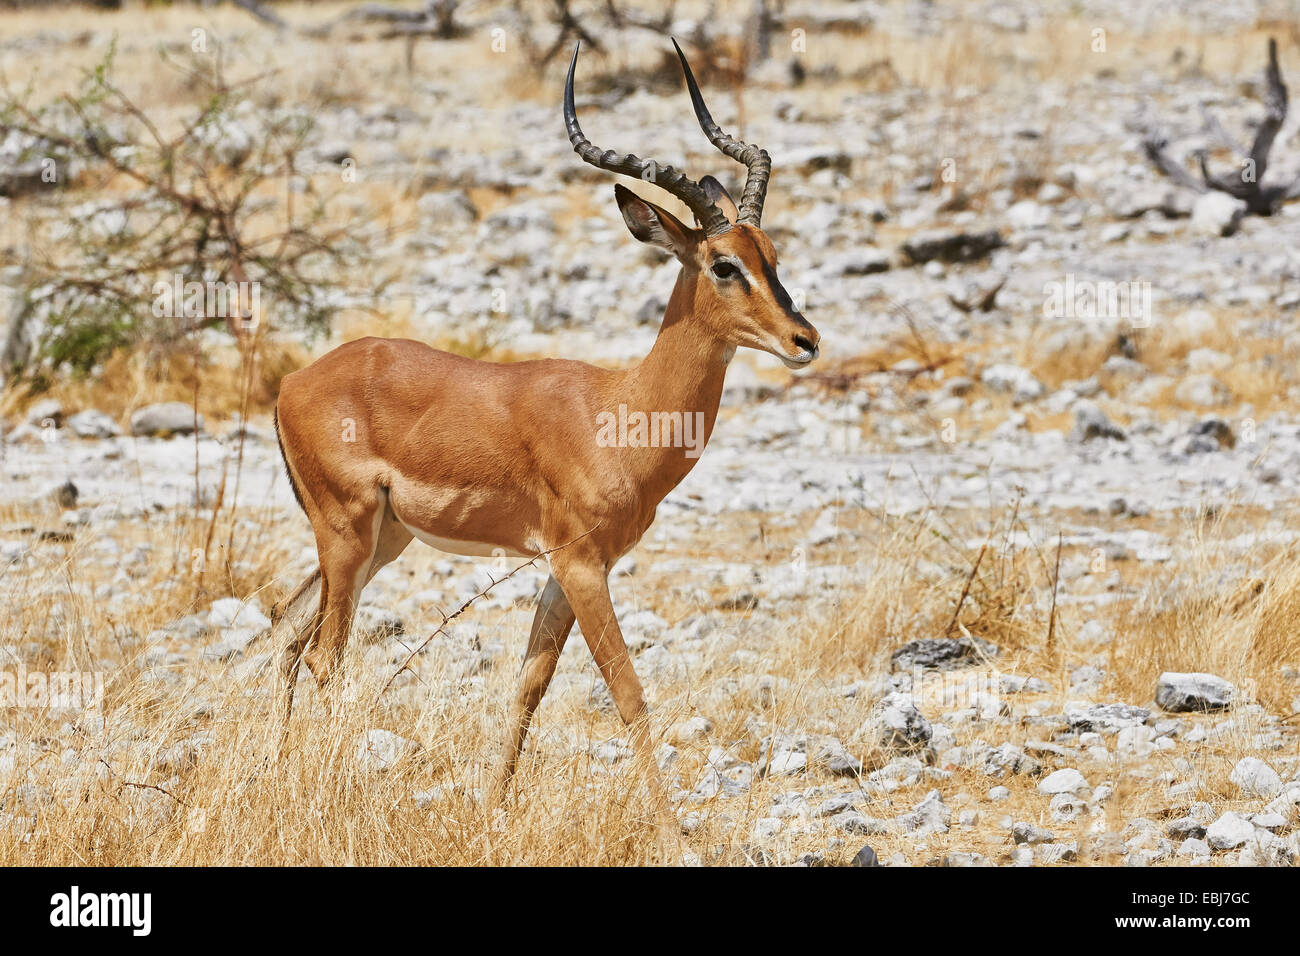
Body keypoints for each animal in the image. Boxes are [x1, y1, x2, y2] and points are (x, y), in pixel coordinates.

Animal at [267, 39, 819, 846]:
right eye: (724, 264)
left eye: (772, 252)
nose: (805, 340)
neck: (620, 412)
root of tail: (291, 383)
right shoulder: (584, 566)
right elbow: (627, 691)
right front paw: (671, 832)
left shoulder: (566, 569)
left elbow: (529, 684)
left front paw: (492, 809)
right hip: (347, 534)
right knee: (324, 657)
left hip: (378, 541)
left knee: (285, 629)